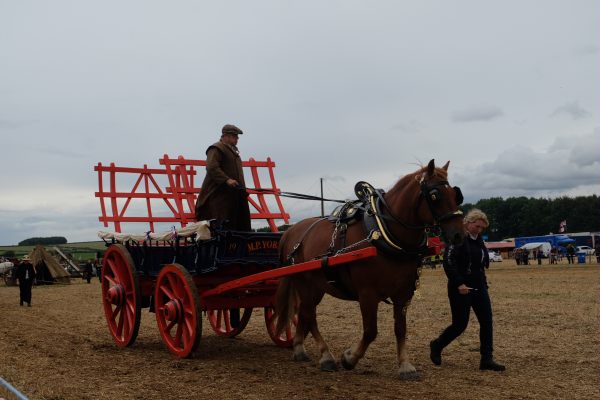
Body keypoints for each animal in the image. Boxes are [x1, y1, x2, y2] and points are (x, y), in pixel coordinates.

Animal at [274, 159, 466, 378]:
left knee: (304, 313)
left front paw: (405, 366)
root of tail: (290, 232)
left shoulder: (404, 293)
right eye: (435, 195)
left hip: (317, 286)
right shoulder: (367, 293)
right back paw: (326, 356)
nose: (459, 235)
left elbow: (401, 329)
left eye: (456, 194)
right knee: (309, 315)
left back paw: (299, 348)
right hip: (304, 283)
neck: (383, 232)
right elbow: (370, 331)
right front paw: (349, 358)